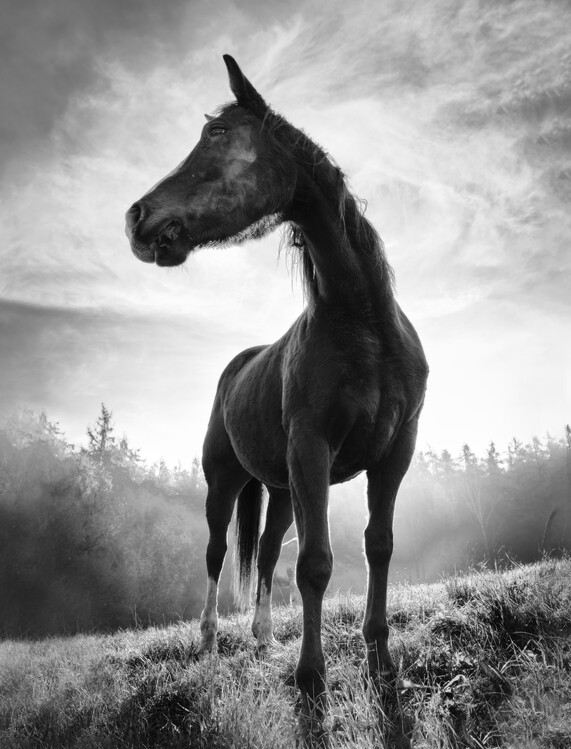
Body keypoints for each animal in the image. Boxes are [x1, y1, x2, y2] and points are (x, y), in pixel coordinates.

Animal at [125, 55, 428, 747]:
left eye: (217, 134)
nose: (136, 217)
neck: (361, 323)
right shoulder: (312, 451)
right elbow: (315, 565)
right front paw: (312, 682)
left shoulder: (393, 455)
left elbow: (378, 547)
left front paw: (380, 662)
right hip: (225, 482)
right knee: (217, 555)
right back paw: (210, 642)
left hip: (284, 489)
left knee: (264, 553)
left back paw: (263, 639)